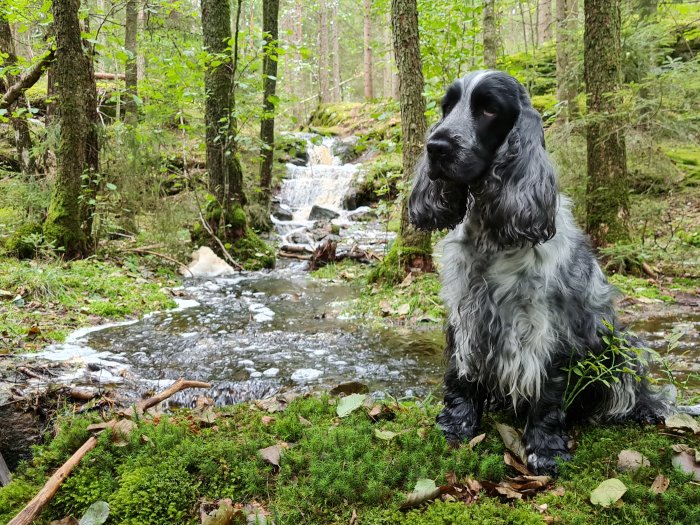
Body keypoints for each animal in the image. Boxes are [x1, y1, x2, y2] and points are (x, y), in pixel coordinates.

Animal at [408, 69, 680, 474]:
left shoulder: (544, 326)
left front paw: (546, 450)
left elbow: (547, 392)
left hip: (624, 347)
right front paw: (456, 426)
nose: (435, 146)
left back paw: (643, 411)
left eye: (488, 109)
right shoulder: (465, 314)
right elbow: (459, 376)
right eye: (447, 106)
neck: (493, 236)